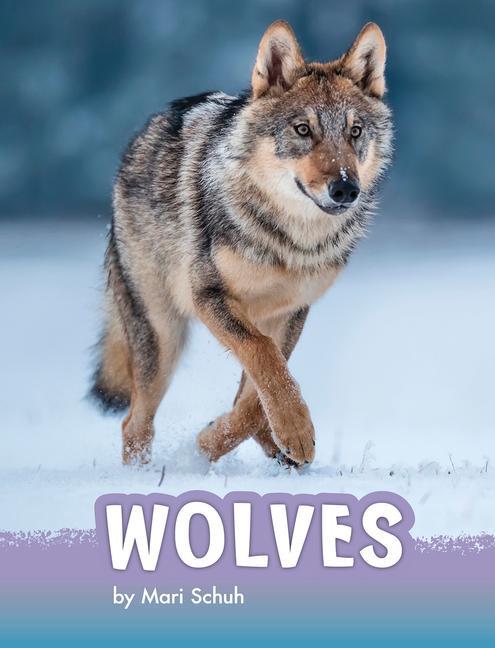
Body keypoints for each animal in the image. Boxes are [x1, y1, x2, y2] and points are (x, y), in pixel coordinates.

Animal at [90, 20, 393, 467]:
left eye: (354, 132)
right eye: (303, 130)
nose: (345, 189)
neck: (290, 241)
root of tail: (143, 134)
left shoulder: (290, 312)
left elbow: (259, 392)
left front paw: (225, 439)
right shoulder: (209, 297)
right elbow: (264, 358)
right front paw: (284, 433)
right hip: (163, 337)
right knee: (133, 424)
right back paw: (140, 475)